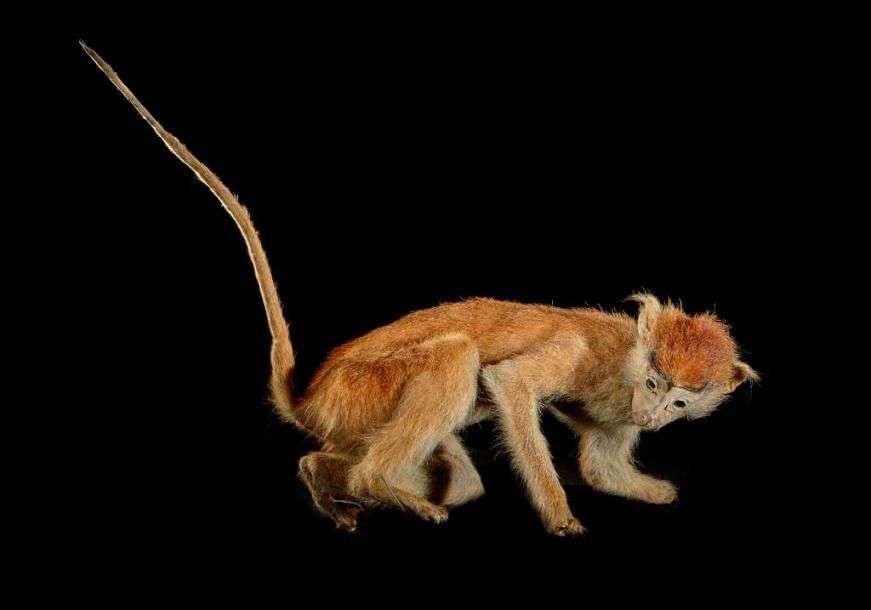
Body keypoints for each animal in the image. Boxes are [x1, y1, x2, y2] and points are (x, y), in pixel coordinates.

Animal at [82, 43, 758, 536]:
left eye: (680, 400)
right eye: (657, 384)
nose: (657, 412)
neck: (628, 359)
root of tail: (313, 396)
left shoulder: (621, 408)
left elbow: (604, 466)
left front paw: (653, 489)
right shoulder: (583, 354)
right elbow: (511, 383)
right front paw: (561, 516)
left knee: (447, 475)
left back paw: (327, 475)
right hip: (361, 392)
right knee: (455, 358)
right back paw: (370, 483)